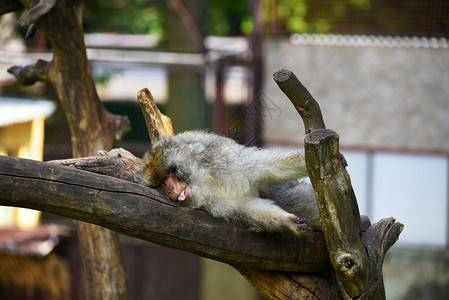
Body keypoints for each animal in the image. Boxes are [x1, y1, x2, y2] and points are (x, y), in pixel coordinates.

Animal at [135, 131, 320, 237]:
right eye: (162, 183)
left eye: (170, 173)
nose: (170, 188)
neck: (206, 180)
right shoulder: (214, 201)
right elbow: (247, 207)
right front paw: (289, 222)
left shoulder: (227, 162)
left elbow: (272, 166)